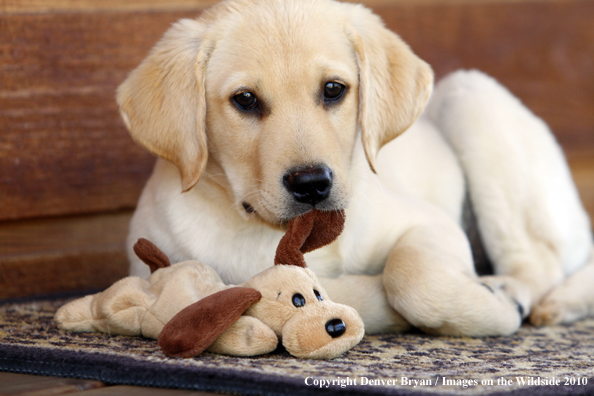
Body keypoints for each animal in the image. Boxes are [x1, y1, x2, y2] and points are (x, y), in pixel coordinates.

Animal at [115, 0, 592, 336]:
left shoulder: (430, 222)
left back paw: (512, 292)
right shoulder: (153, 267)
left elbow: (412, 279)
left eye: (333, 90)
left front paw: (491, 307)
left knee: (540, 261)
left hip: (470, 97)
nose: (312, 184)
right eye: (245, 100)